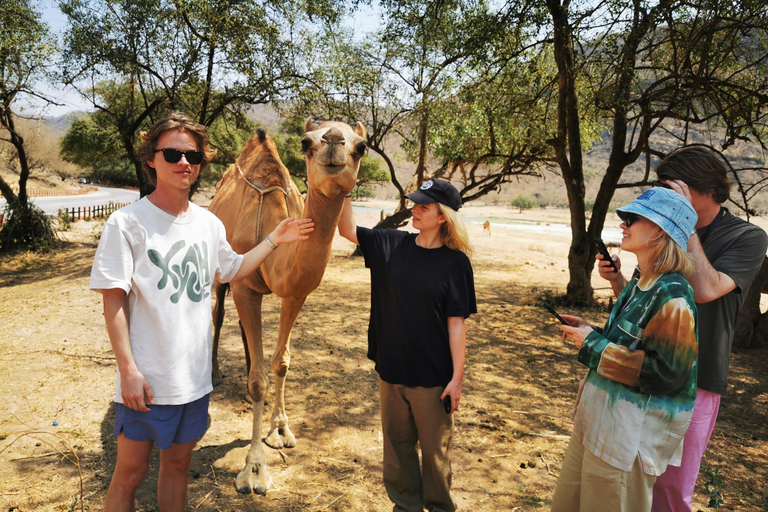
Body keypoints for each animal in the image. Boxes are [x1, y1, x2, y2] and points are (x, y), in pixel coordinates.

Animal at [208, 118, 368, 494]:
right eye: (306, 142)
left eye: (362, 147)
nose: (333, 140)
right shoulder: (243, 284)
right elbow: (258, 381)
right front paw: (254, 470)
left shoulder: (294, 293)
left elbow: (280, 362)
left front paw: (280, 429)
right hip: (222, 275)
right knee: (218, 315)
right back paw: (216, 373)